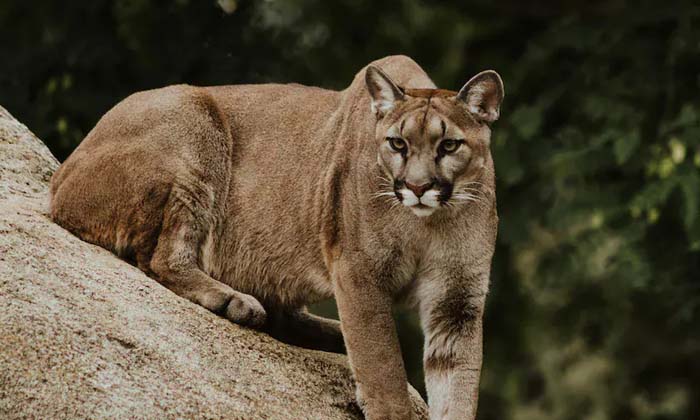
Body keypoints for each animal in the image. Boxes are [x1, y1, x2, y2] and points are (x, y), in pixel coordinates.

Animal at [52, 55, 506, 420]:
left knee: (285, 315)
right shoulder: (360, 274)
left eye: (449, 145)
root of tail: (59, 181)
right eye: (397, 143)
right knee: (163, 258)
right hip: (194, 126)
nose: (417, 187)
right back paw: (234, 302)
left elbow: (456, 386)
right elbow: (384, 373)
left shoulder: (457, 301)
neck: (429, 223)